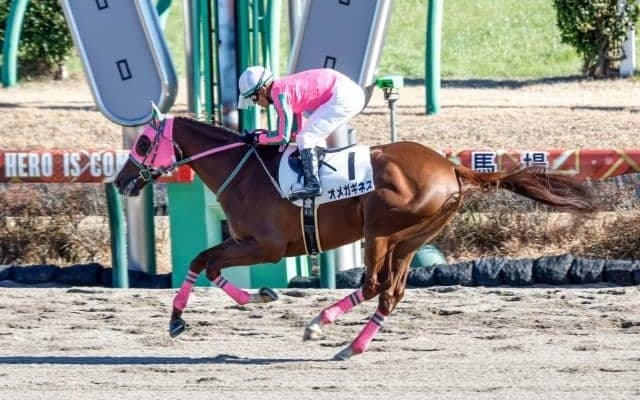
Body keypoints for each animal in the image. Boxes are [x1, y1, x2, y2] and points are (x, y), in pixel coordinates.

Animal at [114, 113, 596, 360]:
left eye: (142, 143)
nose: (120, 181)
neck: (244, 170)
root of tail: (451, 167)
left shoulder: (265, 246)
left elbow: (206, 261)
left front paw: (248, 300)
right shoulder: (253, 244)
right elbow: (203, 261)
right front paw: (187, 317)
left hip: (379, 230)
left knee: (374, 283)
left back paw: (319, 324)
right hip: (409, 240)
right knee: (390, 292)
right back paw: (352, 345)